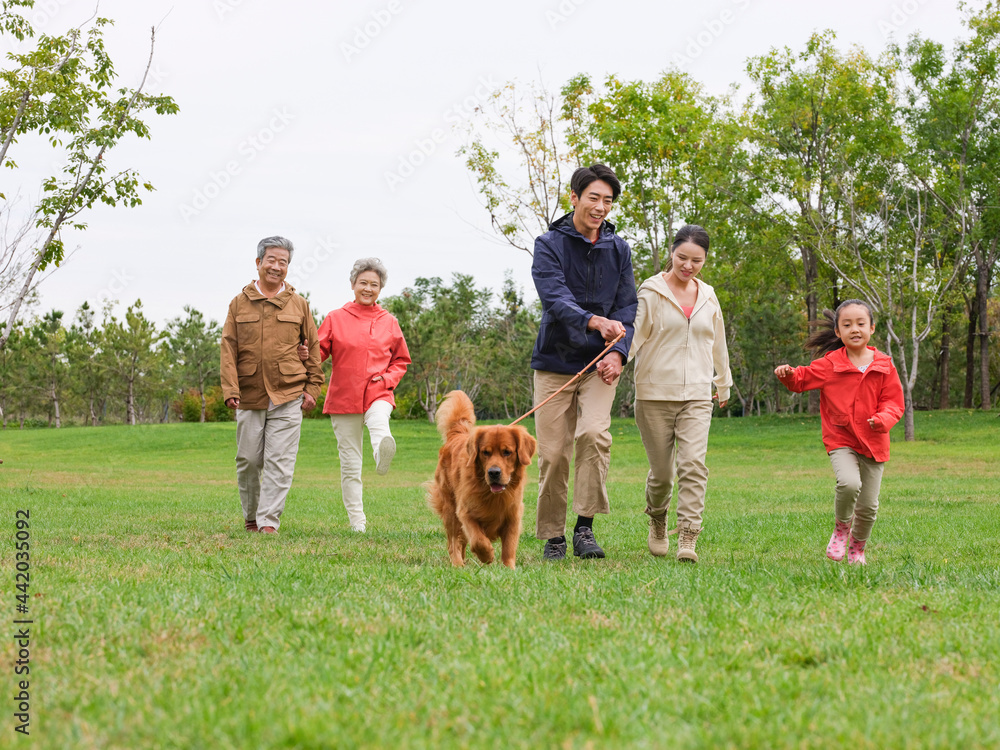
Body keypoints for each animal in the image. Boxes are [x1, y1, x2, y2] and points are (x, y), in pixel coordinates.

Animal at [430, 394, 540, 568]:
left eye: (507, 452)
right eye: (485, 452)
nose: (494, 472)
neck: (492, 494)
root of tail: (456, 434)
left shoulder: (513, 515)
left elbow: (509, 546)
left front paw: (509, 568)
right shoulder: (465, 512)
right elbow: (478, 540)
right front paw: (487, 555)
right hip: (450, 508)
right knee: (453, 542)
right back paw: (458, 564)